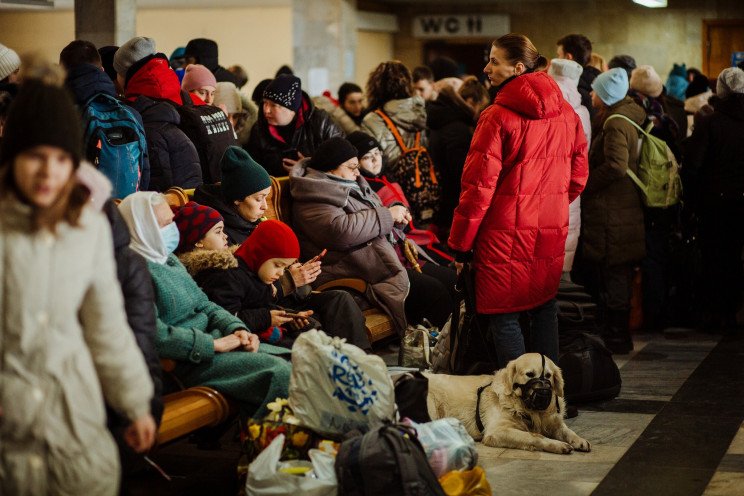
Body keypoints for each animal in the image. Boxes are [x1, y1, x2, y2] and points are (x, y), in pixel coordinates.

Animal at [424, 352, 592, 454]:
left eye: (548, 376)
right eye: (529, 374)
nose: (543, 391)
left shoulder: (553, 422)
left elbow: (567, 431)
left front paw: (579, 440)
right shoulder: (497, 431)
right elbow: (534, 436)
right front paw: (557, 445)